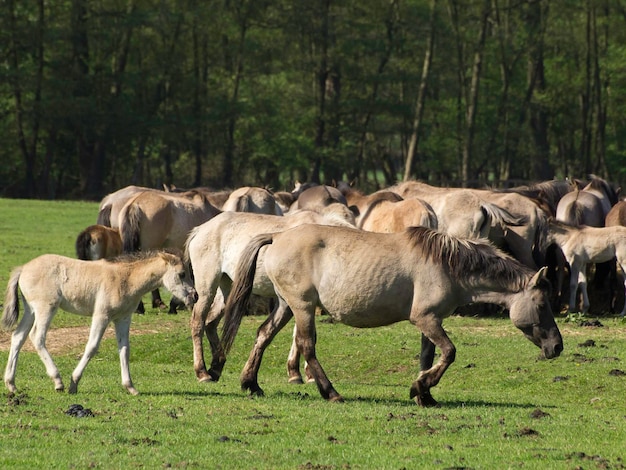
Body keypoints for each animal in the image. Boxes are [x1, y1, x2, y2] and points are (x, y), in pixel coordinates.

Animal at [2, 252, 196, 394]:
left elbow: (124, 349)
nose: (195, 296)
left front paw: (130, 387)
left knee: (18, 337)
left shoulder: (123, 318)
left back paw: (11, 384)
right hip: (46, 308)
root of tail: (23, 268)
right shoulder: (102, 315)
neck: (126, 279)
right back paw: (58, 381)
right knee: (37, 337)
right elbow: (92, 346)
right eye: (182, 274)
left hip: (30, 311)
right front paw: (74, 383)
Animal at [182, 204, 356, 384]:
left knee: (210, 323)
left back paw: (216, 366)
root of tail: (200, 230)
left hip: (228, 290)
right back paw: (202, 372)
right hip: (207, 289)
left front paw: (300, 373)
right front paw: (303, 374)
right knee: (198, 322)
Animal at [221, 226, 560, 406]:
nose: (557, 347)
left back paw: (251, 384)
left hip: (285, 306)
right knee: (306, 346)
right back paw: (331, 392)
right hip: (303, 307)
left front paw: (424, 393)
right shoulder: (425, 319)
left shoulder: (430, 321)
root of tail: (278, 235)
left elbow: (428, 356)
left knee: (263, 334)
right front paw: (420, 387)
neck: (447, 266)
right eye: (543, 305)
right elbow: (449, 352)